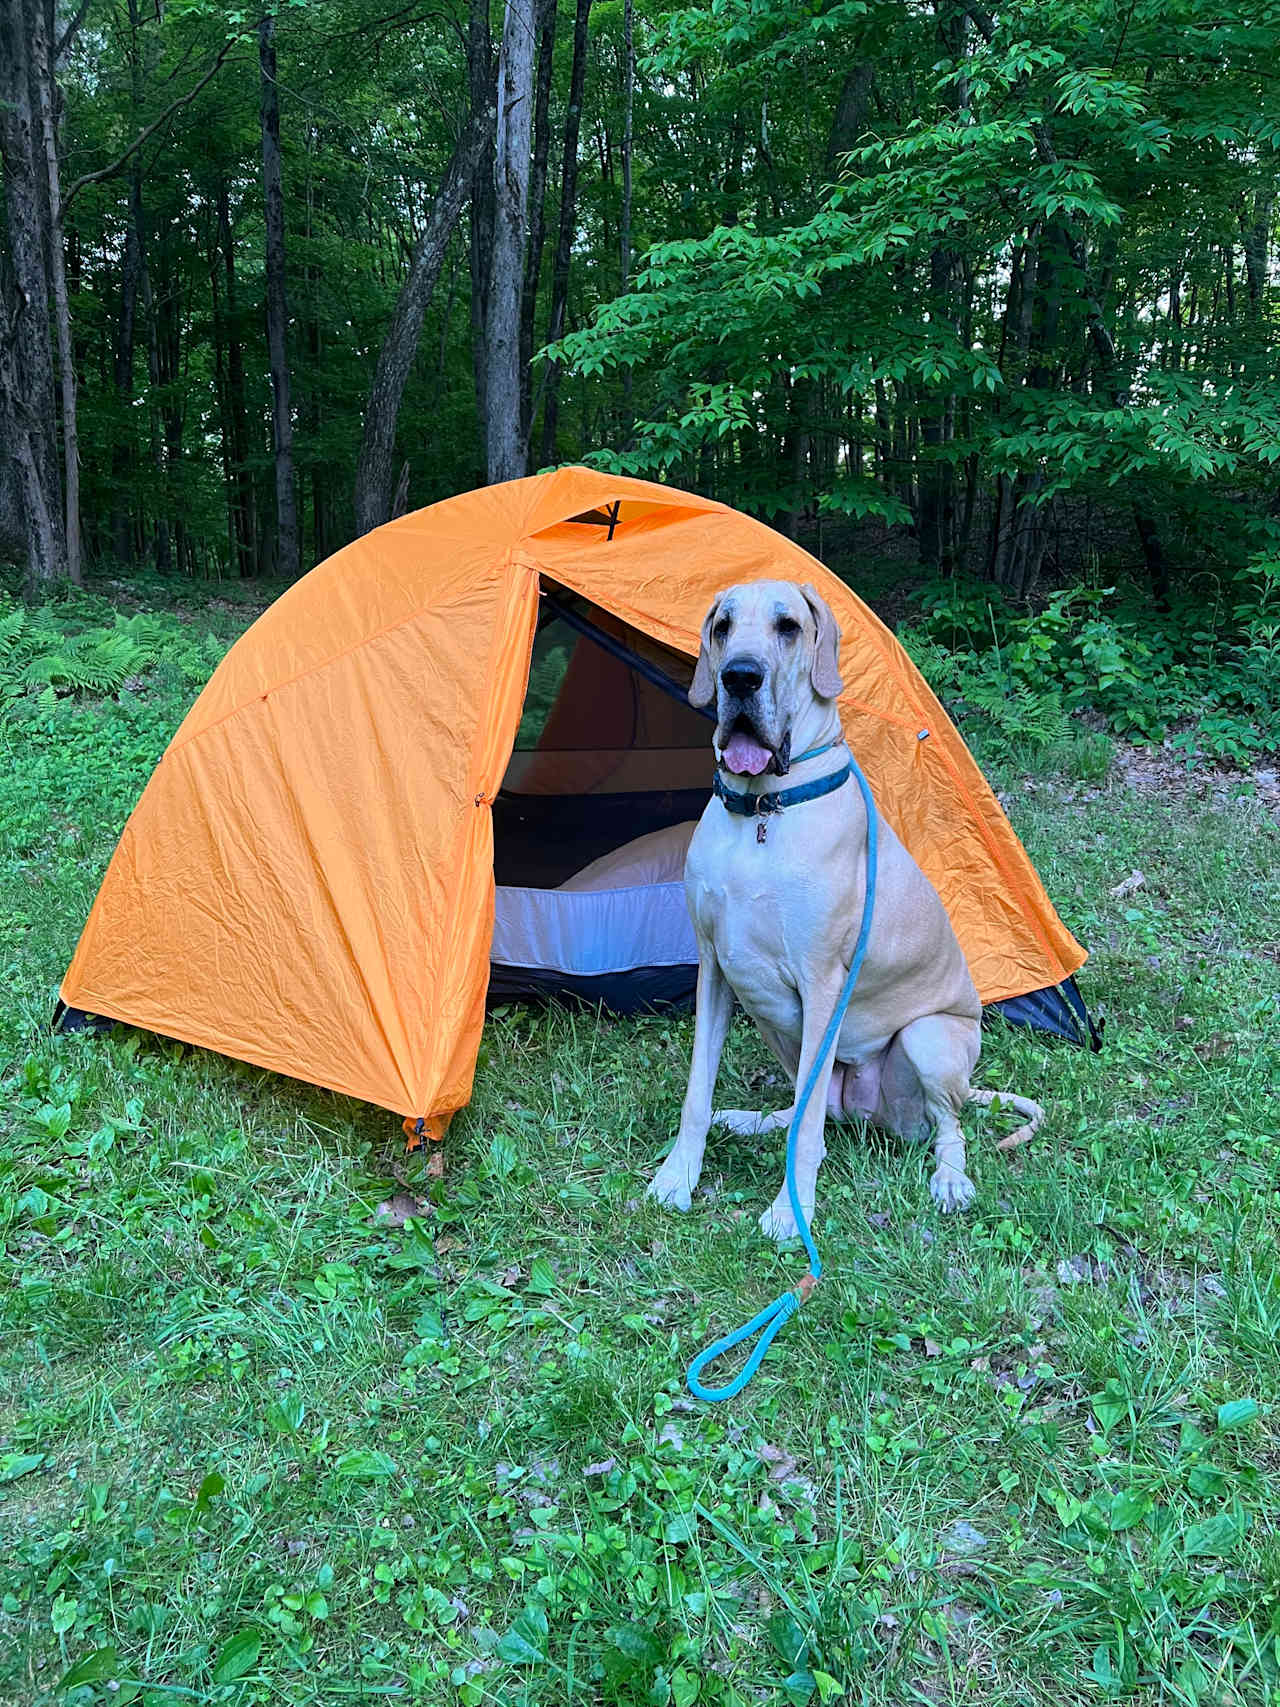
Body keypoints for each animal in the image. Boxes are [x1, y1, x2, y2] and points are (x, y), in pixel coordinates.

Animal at [651, 580, 1044, 1235]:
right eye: (723, 626)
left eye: (787, 626)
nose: (739, 677)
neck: (763, 812)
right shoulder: (715, 969)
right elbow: (697, 1094)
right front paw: (678, 1178)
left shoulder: (822, 985)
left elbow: (809, 1132)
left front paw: (790, 1213)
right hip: (776, 1025)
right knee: (807, 1109)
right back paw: (754, 1120)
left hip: (929, 1039)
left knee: (947, 1125)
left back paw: (950, 1178)